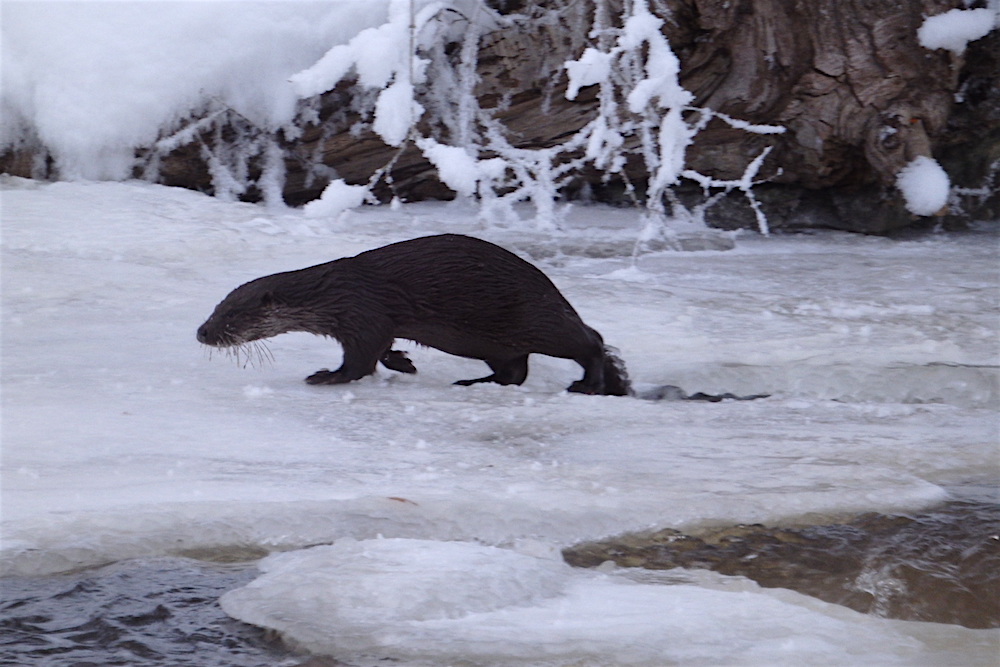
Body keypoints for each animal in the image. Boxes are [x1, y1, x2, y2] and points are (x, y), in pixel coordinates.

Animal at [198, 234, 628, 396]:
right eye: (216, 308)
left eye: (231, 316)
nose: (202, 333)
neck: (331, 295)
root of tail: (550, 288)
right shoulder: (367, 322)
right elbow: (385, 348)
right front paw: (404, 362)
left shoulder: (362, 313)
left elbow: (359, 361)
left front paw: (326, 376)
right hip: (491, 343)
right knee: (515, 371)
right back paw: (473, 382)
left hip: (535, 317)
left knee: (590, 340)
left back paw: (588, 384)